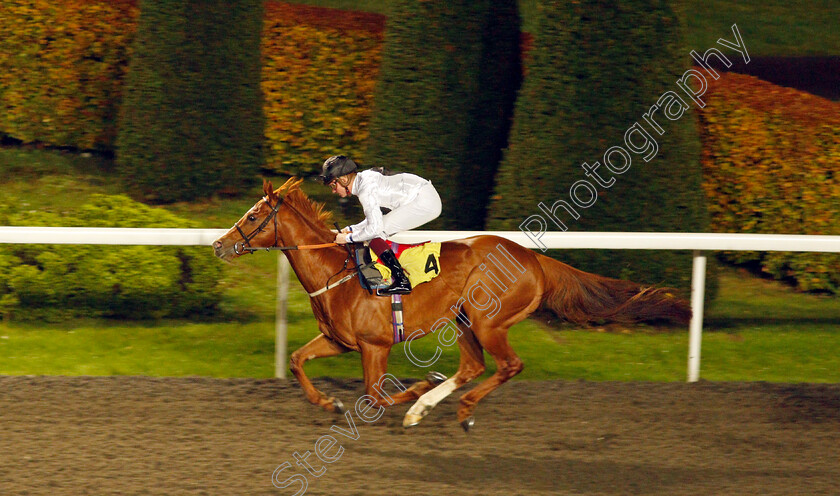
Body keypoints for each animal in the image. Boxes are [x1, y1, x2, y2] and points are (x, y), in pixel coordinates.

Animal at [213, 178, 692, 430]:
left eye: (253, 216)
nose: (219, 245)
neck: (337, 273)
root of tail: (533, 257)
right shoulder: (339, 341)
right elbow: (296, 360)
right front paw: (329, 403)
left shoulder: (374, 345)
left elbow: (375, 395)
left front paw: (416, 388)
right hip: (462, 319)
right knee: (473, 365)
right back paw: (425, 409)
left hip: (488, 321)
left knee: (507, 365)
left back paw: (457, 408)